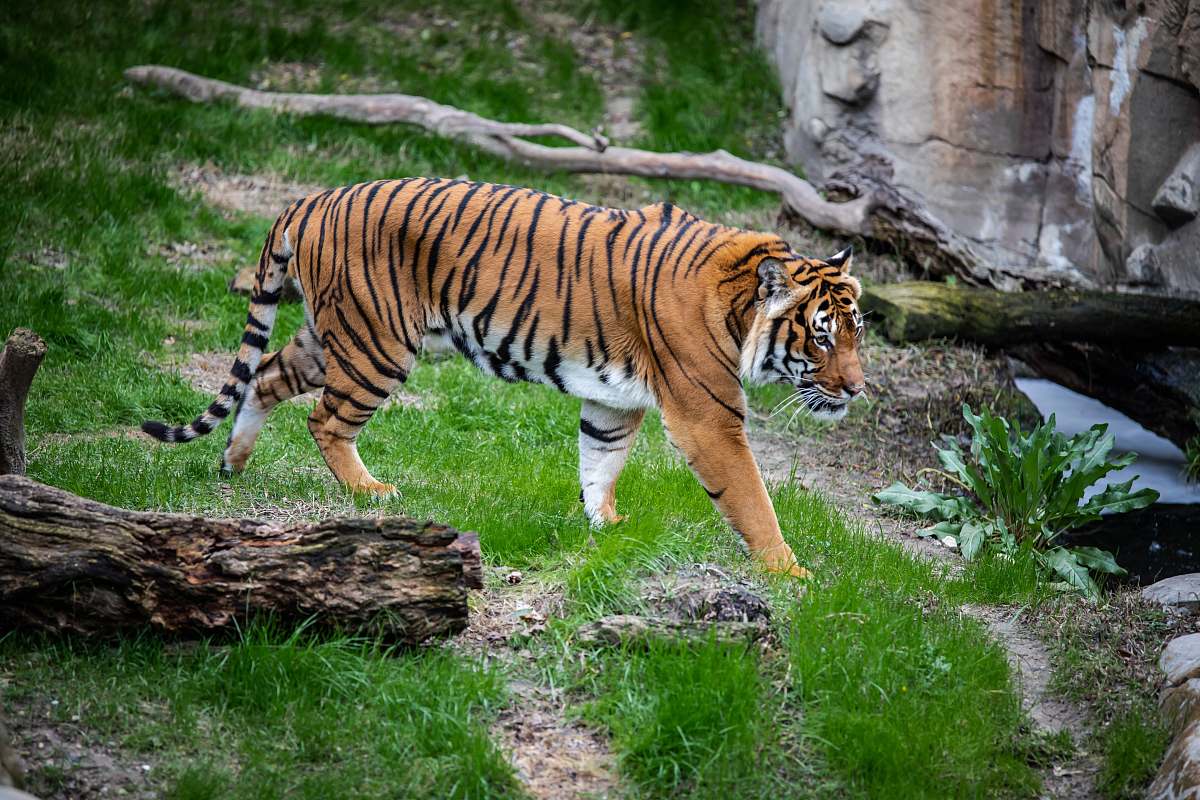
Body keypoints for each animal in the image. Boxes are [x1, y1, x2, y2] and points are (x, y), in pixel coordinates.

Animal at [145, 176, 868, 575]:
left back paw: (233, 464)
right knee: (325, 418)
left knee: (265, 374)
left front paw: (606, 527)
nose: (858, 389)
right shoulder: (707, 416)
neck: (742, 304)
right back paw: (369, 491)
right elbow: (751, 499)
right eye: (822, 334)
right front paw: (791, 574)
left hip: (332, 336)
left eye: (858, 329)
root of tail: (313, 198)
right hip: (379, 343)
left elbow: (600, 461)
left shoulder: (615, 403)